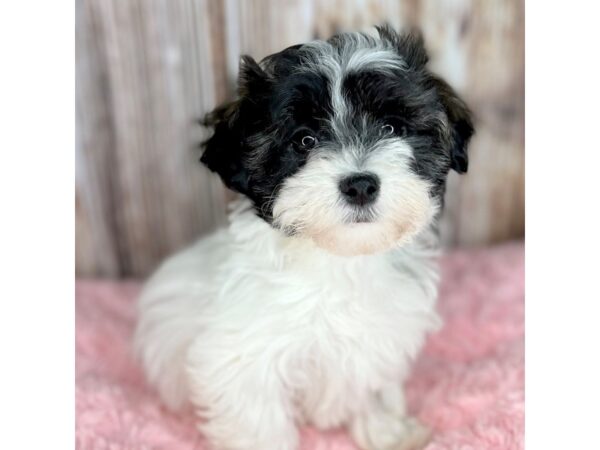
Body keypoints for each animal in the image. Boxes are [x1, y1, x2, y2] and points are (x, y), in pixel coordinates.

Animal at [135, 25, 474, 450]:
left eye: (391, 128)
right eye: (305, 141)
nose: (360, 185)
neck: (339, 260)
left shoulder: (375, 341)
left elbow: (370, 386)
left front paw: (387, 431)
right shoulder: (242, 360)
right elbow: (259, 424)